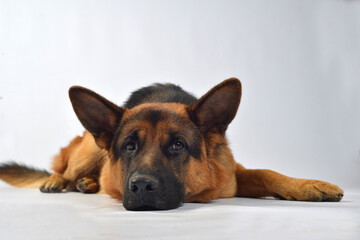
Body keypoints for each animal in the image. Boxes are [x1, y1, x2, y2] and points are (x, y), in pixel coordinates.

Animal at [0, 79, 344, 210]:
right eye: (129, 147)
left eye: (178, 146)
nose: (140, 187)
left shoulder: (234, 175)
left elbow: (267, 172)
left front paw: (307, 185)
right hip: (89, 149)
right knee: (65, 169)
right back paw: (59, 181)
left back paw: (88, 184)